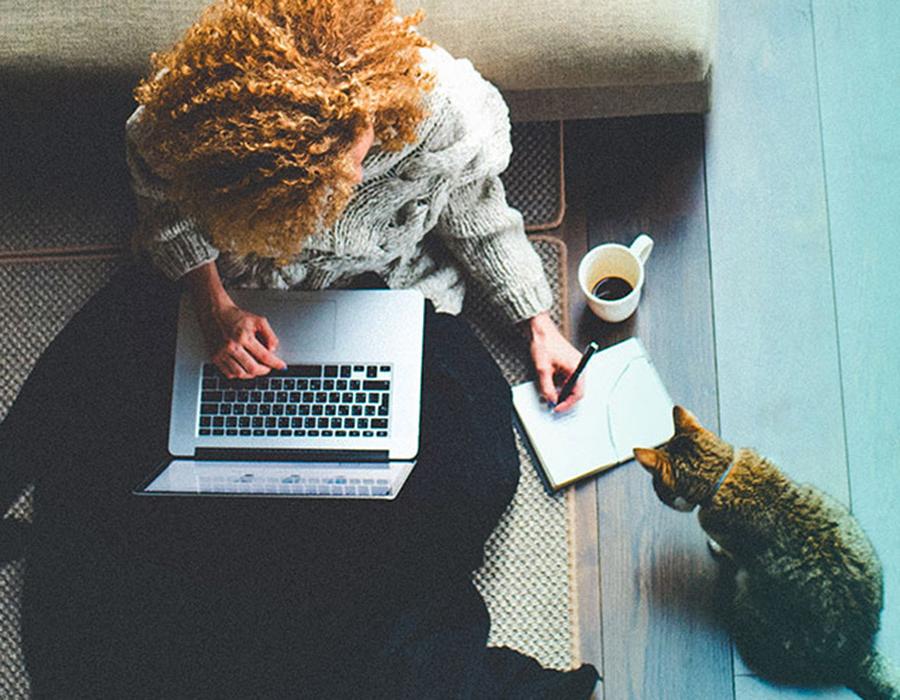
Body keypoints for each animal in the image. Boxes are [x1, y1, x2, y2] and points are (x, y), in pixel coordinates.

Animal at [632, 404, 900, 700]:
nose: (656, 494)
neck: (722, 475)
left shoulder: (731, 542)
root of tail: (858, 651)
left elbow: (726, 549)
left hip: (749, 598)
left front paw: (715, 547)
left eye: (657, 488)